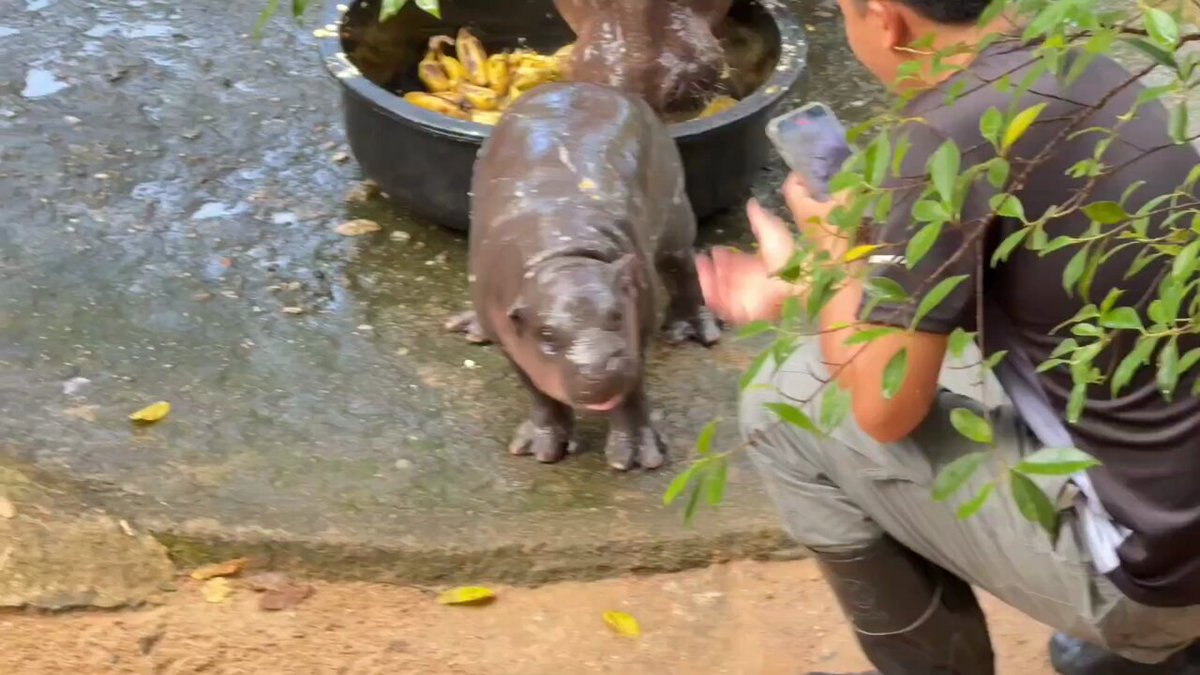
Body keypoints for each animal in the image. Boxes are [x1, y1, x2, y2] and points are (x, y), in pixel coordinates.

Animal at [445, 81, 722, 471]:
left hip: (676, 214)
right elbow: (539, 394)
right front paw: (542, 449)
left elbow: (632, 391)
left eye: (617, 315)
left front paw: (637, 456)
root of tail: (589, 84)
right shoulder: (512, 339)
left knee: (681, 268)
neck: (563, 259)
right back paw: (471, 328)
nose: (599, 369)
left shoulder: (637, 329)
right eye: (546, 334)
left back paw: (693, 329)